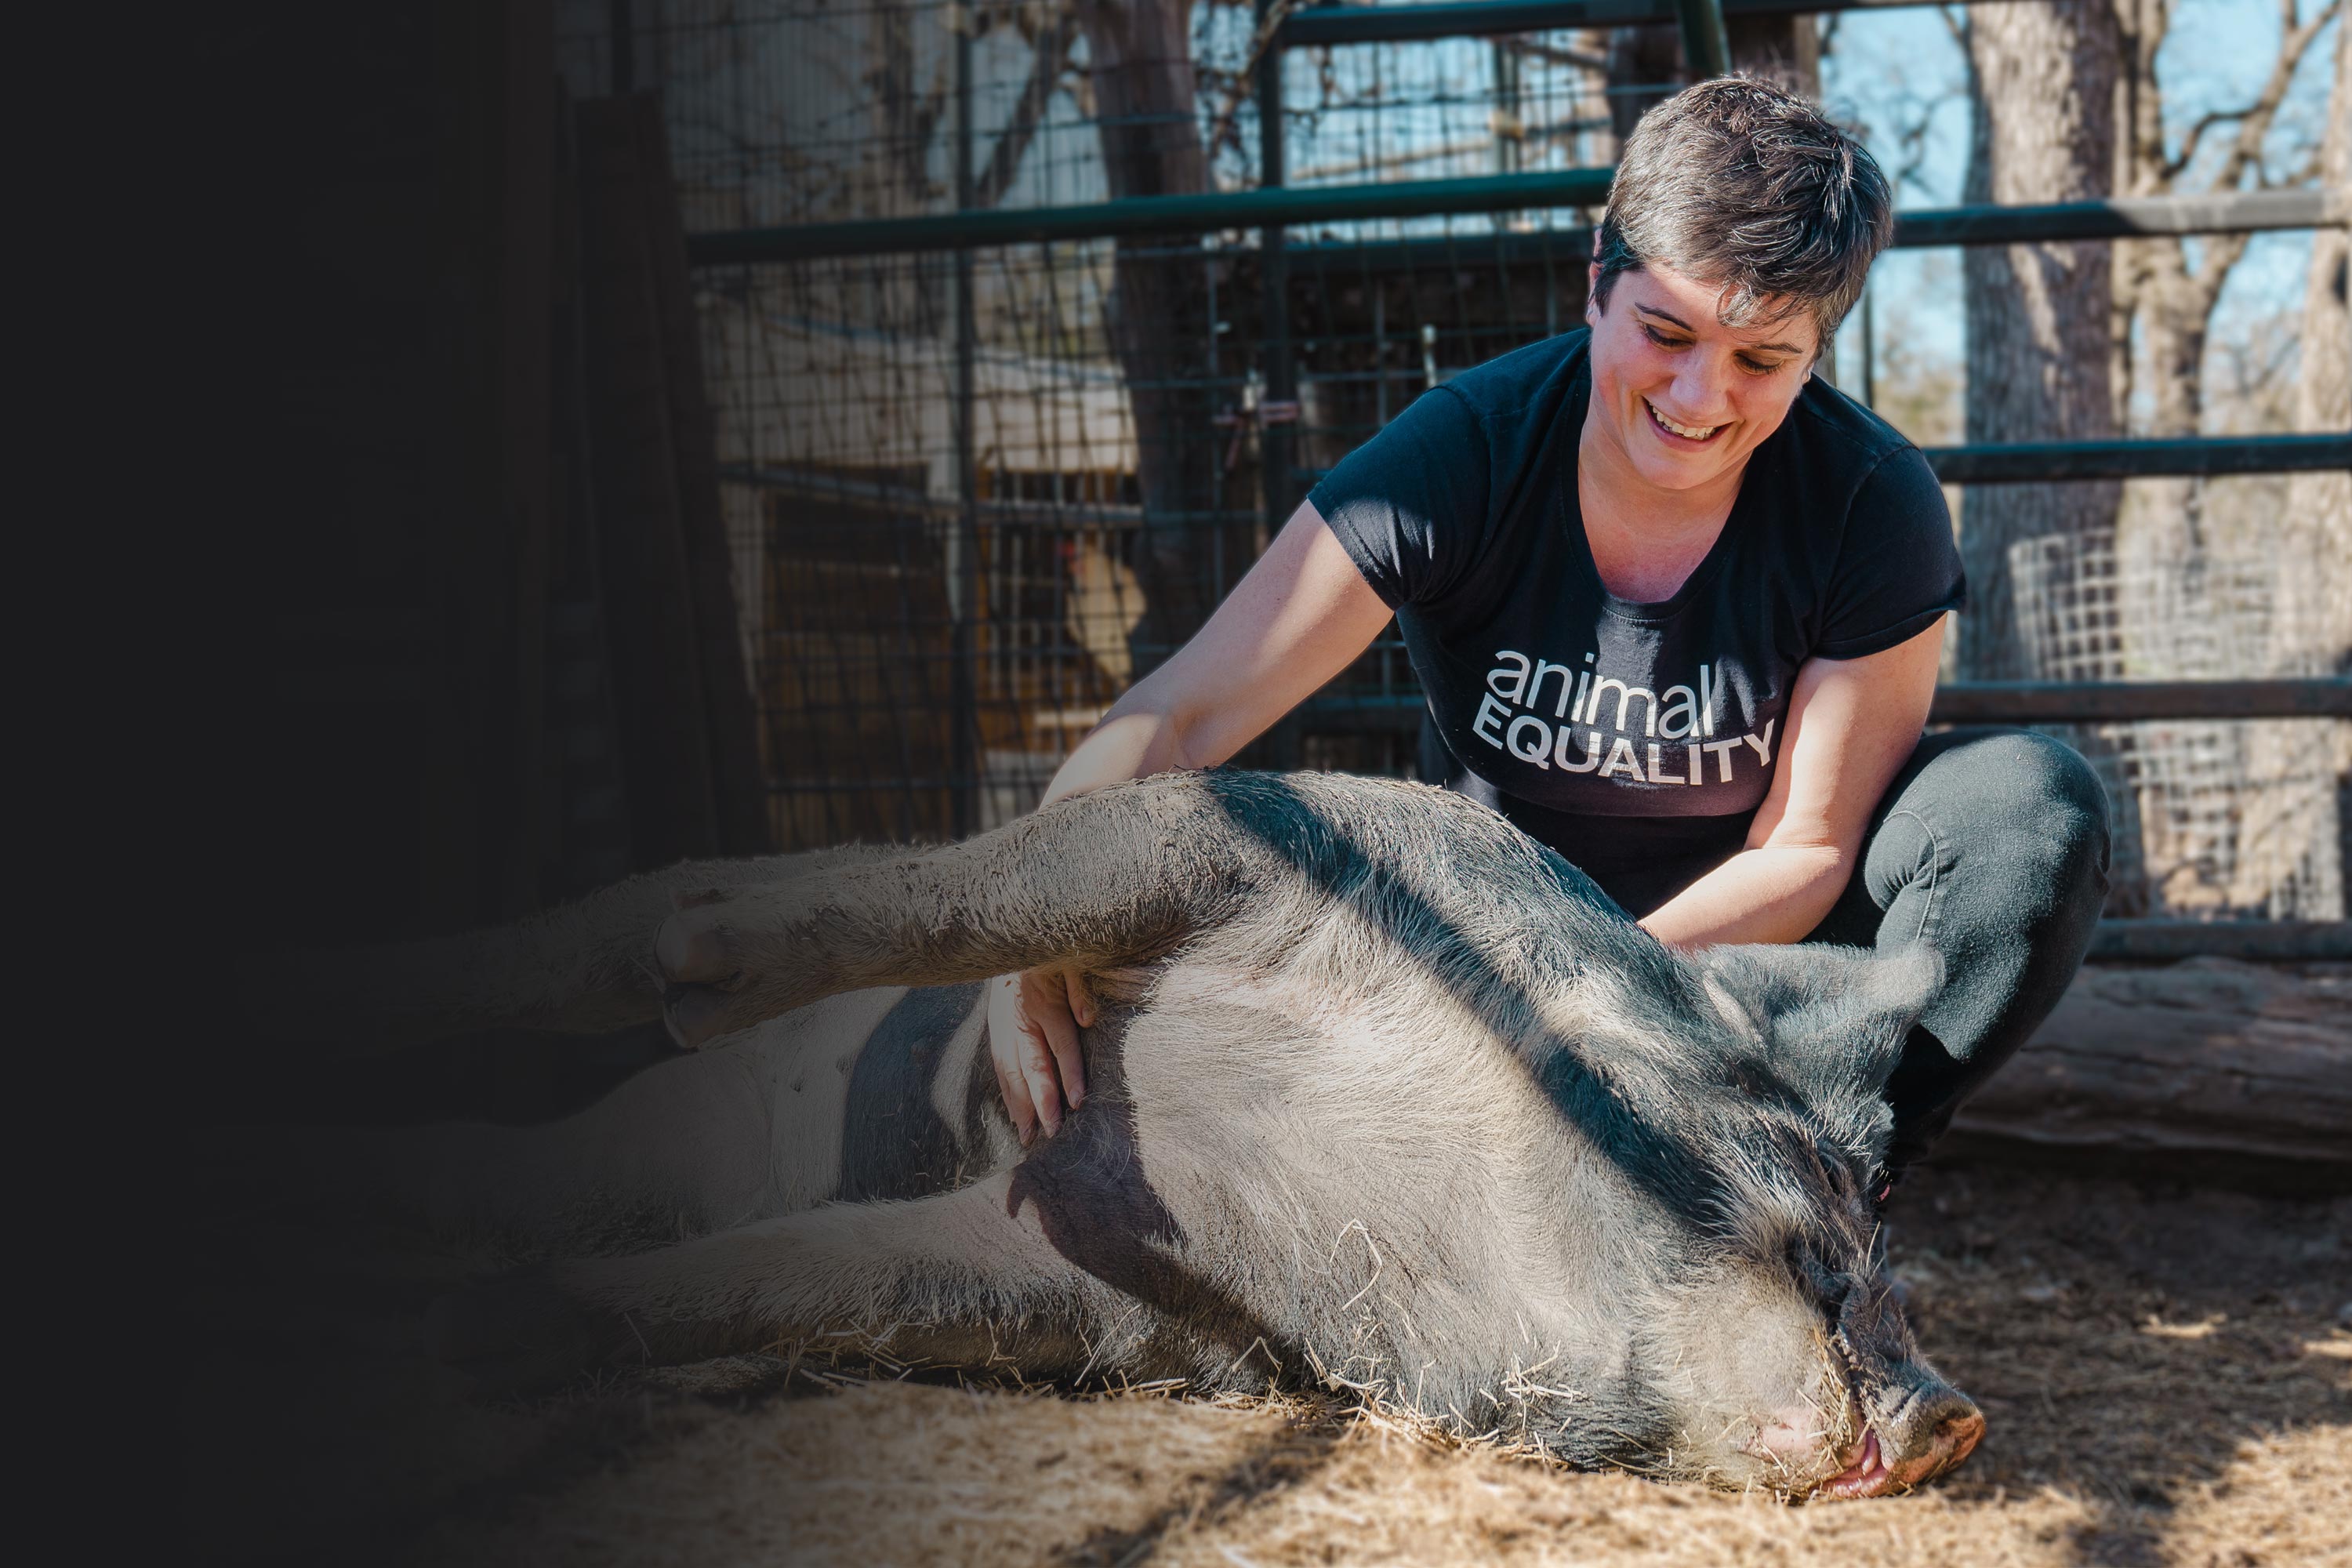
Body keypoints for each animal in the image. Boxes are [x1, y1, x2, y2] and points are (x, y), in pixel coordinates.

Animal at [270, 771, 1985, 1495]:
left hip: (607, 1163)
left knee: (502, 1185)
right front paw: (703, 964)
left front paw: (476, 1344)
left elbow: (823, 1276)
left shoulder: (1139, 1303)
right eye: (1838, 1203)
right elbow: (971, 903)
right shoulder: (1232, 829)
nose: (1955, 1414)